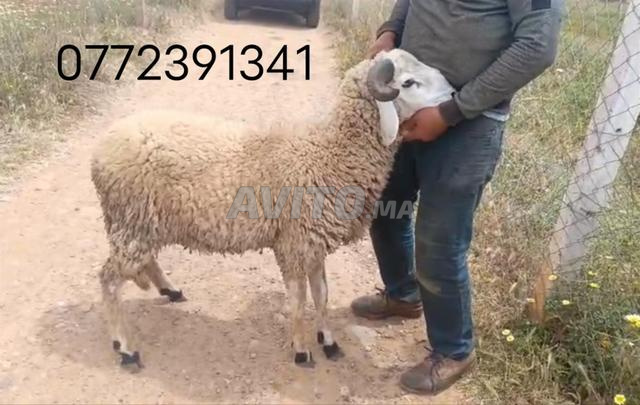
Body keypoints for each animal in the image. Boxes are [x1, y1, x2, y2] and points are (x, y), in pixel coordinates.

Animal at [91, 49, 454, 369]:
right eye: (408, 82)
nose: (452, 93)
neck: (328, 154)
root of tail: (104, 146)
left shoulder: (312, 244)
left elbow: (322, 295)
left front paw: (329, 341)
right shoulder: (292, 244)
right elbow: (298, 302)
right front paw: (301, 351)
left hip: (140, 222)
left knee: (143, 261)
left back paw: (170, 290)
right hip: (133, 220)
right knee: (109, 281)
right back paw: (125, 347)